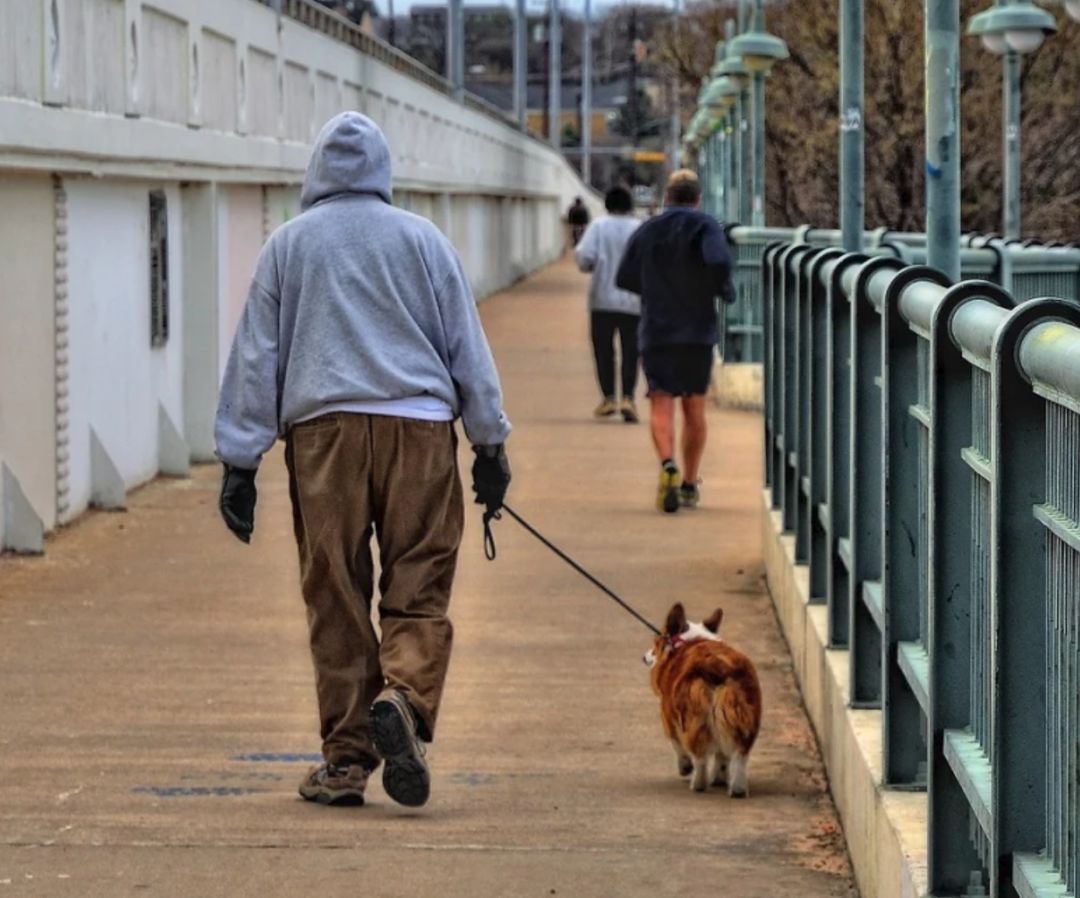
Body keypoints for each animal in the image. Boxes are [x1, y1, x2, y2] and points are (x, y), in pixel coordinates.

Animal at [643, 605, 764, 795]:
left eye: (656, 642)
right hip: (744, 717)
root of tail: (720, 666)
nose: (644, 657)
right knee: (739, 757)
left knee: (700, 758)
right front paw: (719, 779)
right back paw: (736, 789)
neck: (688, 641)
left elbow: (677, 745)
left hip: (694, 720)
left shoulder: (667, 716)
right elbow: (722, 756)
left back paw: (698, 784)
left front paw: (685, 767)